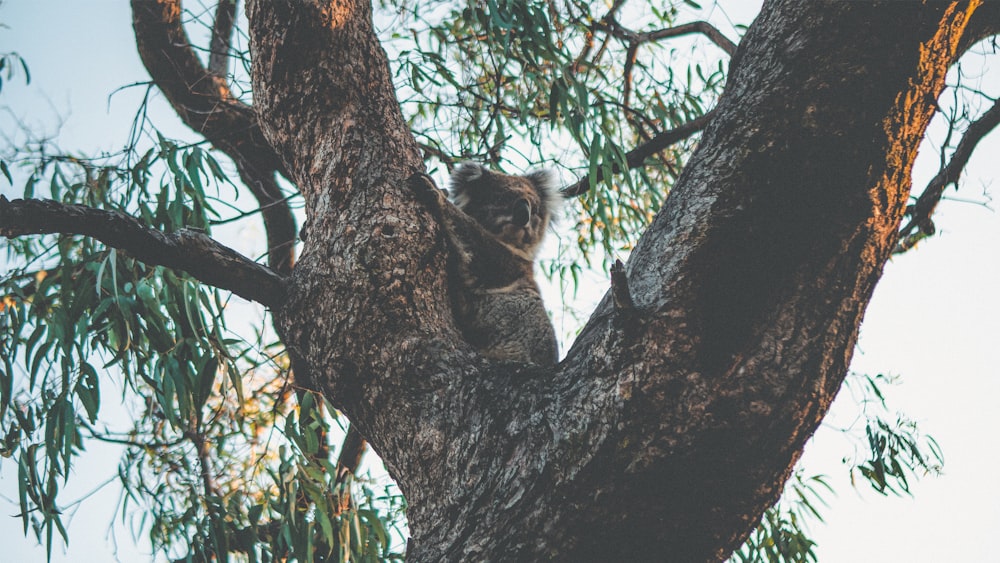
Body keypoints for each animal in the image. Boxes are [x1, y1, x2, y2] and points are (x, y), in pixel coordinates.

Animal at [408, 163, 564, 366]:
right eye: (501, 198)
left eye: (535, 208)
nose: (524, 215)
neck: (509, 241)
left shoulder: (511, 264)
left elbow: (480, 249)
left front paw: (435, 191)